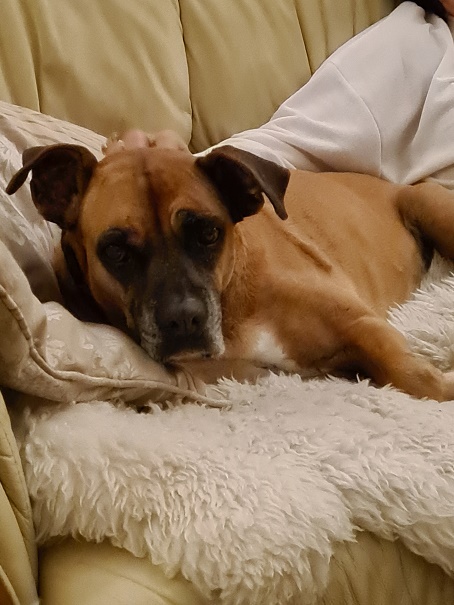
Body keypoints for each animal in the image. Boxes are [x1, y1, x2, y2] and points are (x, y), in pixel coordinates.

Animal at [7, 130, 454, 401]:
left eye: (208, 233)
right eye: (115, 250)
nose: (184, 318)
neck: (234, 305)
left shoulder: (363, 326)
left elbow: (416, 377)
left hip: (428, 203)